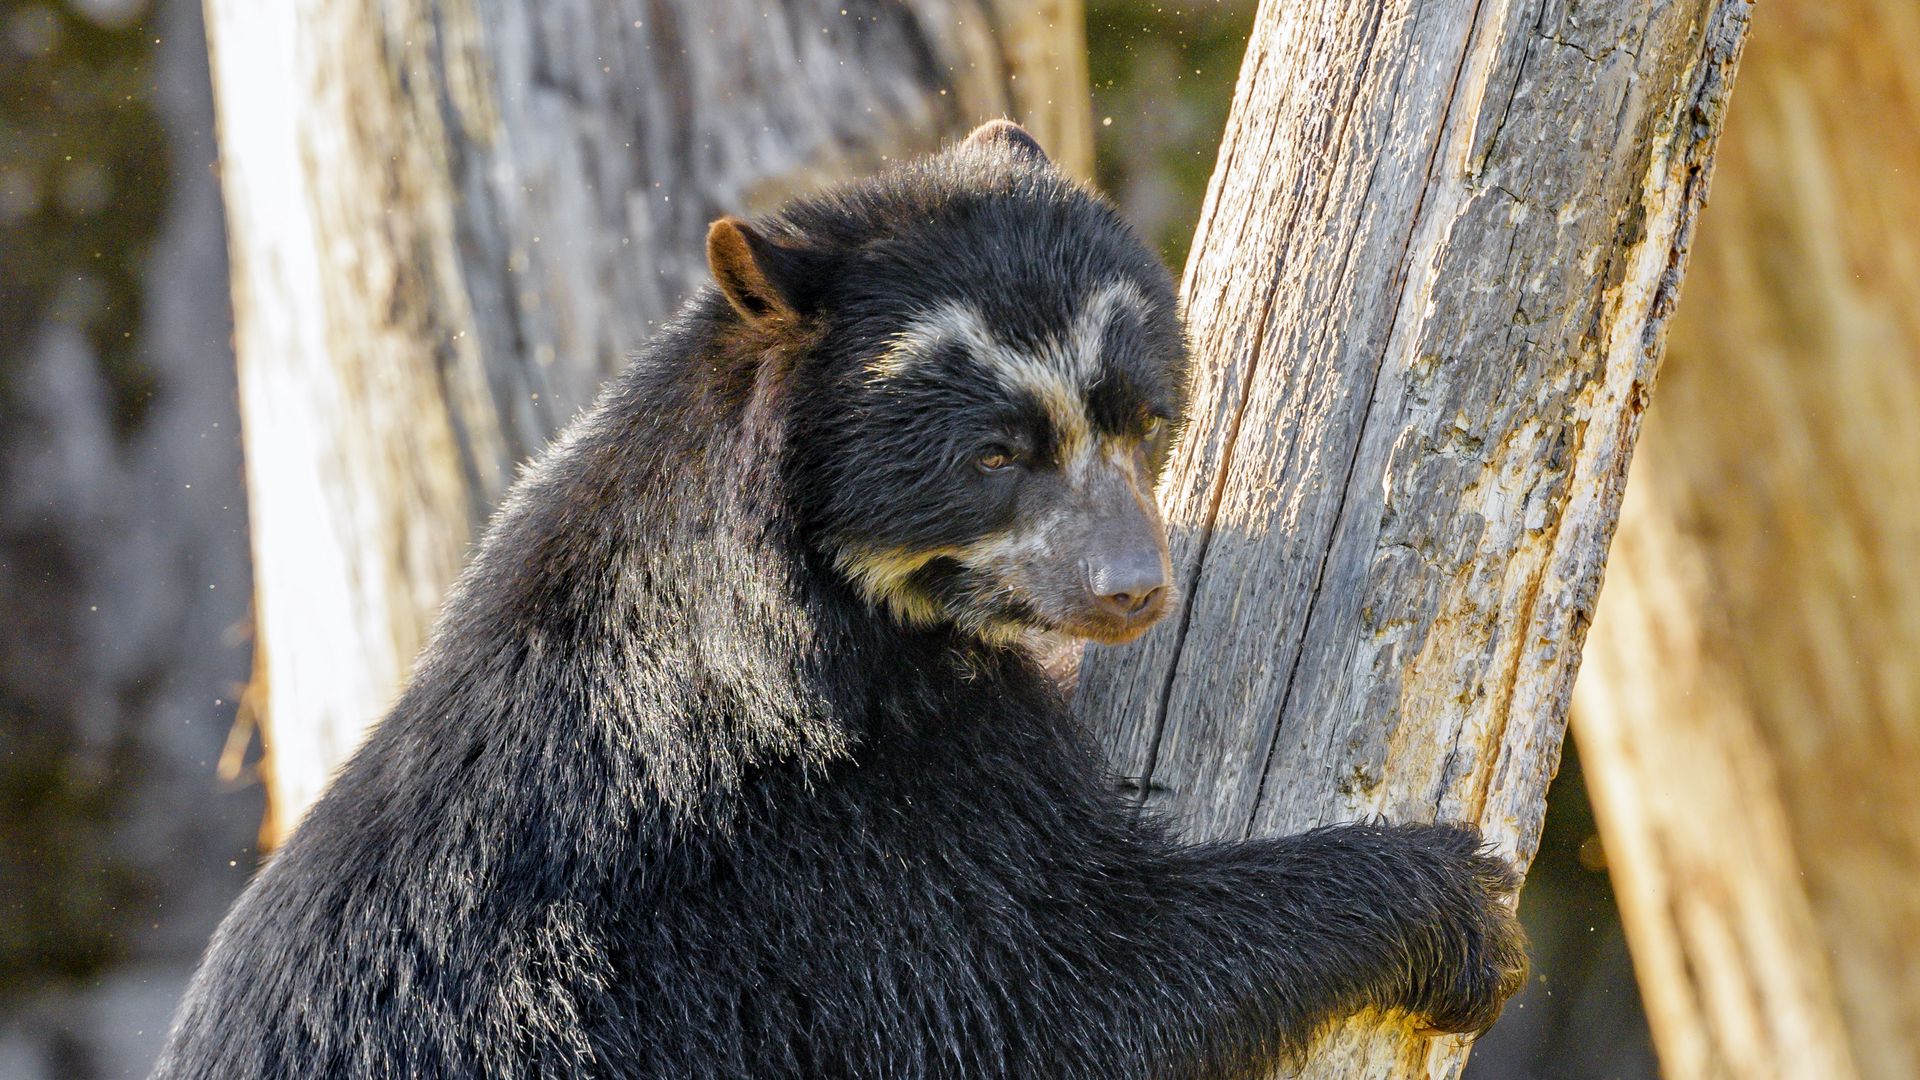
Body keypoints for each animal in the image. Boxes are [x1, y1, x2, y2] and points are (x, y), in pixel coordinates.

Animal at [157, 122, 1520, 1068]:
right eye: (994, 456)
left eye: (1141, 416)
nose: (1134, 592)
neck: (829, 610)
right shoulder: (826, 837)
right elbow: (1050, 987)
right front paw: (1460, 911)